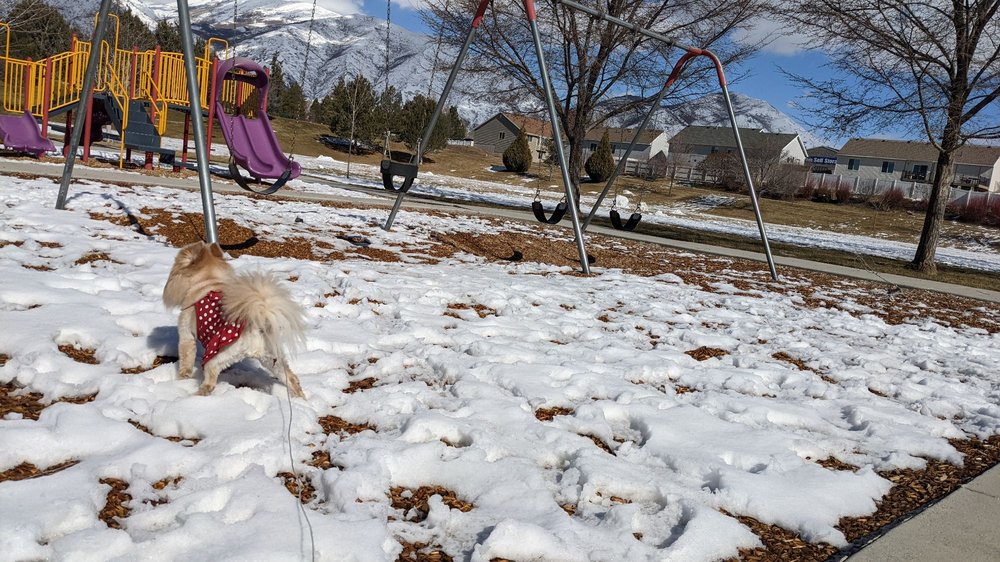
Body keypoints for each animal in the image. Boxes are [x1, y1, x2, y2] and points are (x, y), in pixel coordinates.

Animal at [162, 241, 306, 397]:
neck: (207, 282)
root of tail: (256, 326)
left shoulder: (186, 337)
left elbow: (185, 362)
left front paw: (182, 379)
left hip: (217, 357)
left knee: (210, 380)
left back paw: (198, 395)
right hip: (272, 358)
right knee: (292, 378)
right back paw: (300, 399)